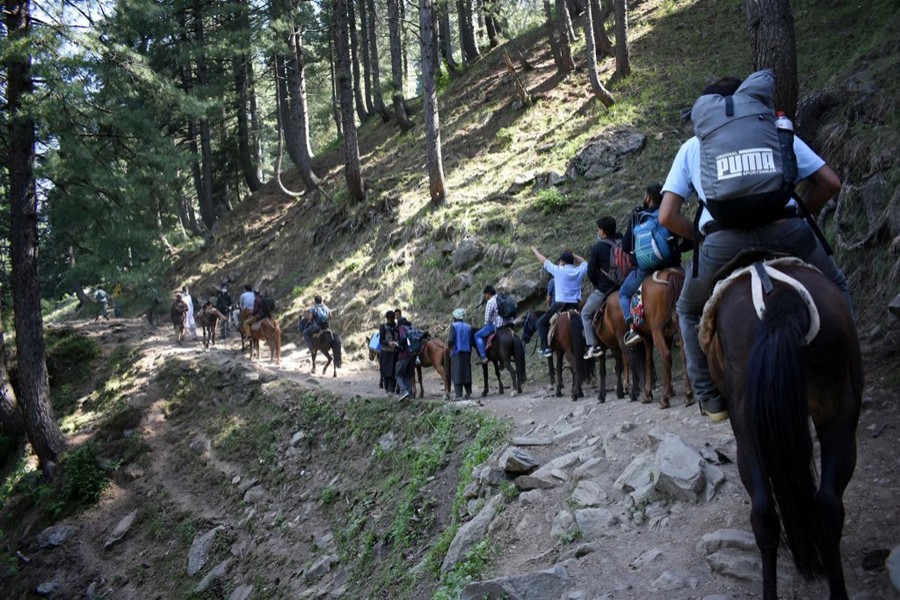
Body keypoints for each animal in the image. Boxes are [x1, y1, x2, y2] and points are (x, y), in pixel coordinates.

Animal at [624, 270, 696, 408]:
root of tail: (670, 273)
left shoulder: (647, 337)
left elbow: (648, 360)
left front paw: (647, 394)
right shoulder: (668, 335)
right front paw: (670, 389)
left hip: (656, 331)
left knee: (666, 356)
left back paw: (664, 400)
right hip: (679, 324)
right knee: (684, 353)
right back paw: (688, 394)